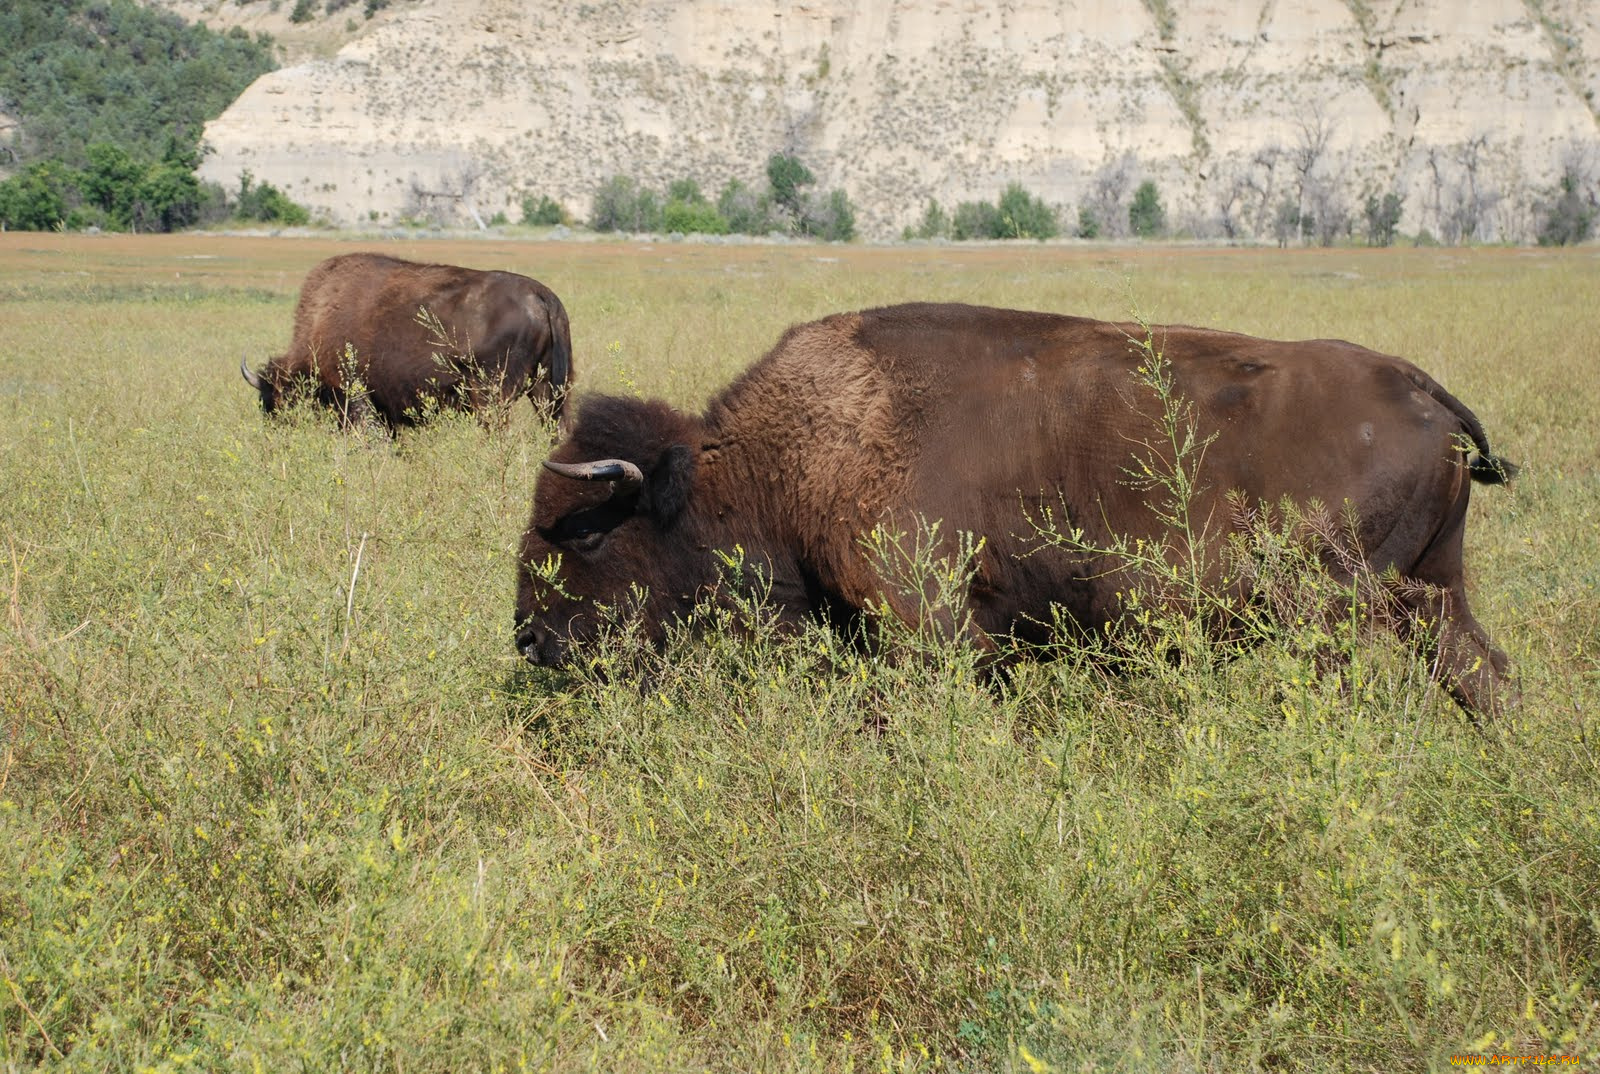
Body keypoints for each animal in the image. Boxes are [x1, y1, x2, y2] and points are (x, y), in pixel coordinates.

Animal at [243, 254, 576, 428]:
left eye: (277, 400)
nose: (276, 433)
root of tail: (542, 296)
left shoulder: (355, 398)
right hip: (548, 390)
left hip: (492, 395)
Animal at [518, 302, 1516, 717]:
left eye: (587, 535)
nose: (530, 639)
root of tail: (1424, 389)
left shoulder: (928, 626)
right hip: (1434, 591)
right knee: (1482, 672)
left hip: (1331, 610)